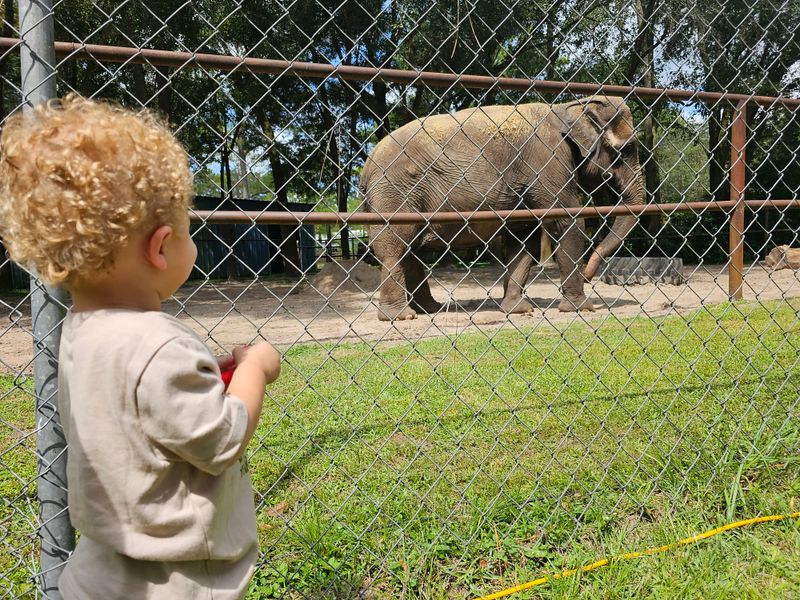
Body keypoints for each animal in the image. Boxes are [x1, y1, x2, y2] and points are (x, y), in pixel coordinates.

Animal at [359, 95, 645, 321]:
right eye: (625, 149)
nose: (588, 276)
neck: (567, 108)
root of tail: (367, 166)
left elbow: (523, 235)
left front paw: (519, 310)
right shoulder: (548, 161)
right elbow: (567, 221)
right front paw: (582, 308)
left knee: (411, 250)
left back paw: (430, 309)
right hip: (395, 194)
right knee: (396, 247)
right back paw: (400, 316)